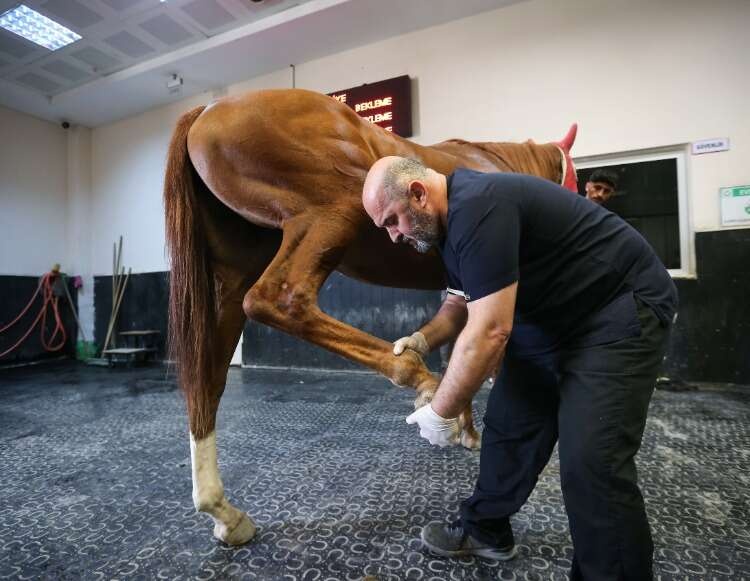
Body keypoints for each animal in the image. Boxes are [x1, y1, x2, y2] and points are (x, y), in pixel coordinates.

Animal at [163, 88, 576, 548]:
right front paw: (464, 423)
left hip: (230, 282)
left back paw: (222, 511)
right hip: (334, 210)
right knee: (281, 300)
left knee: (207, 380)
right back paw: (417, 376)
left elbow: (463, 344)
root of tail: (208, 111)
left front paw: (463, 421)